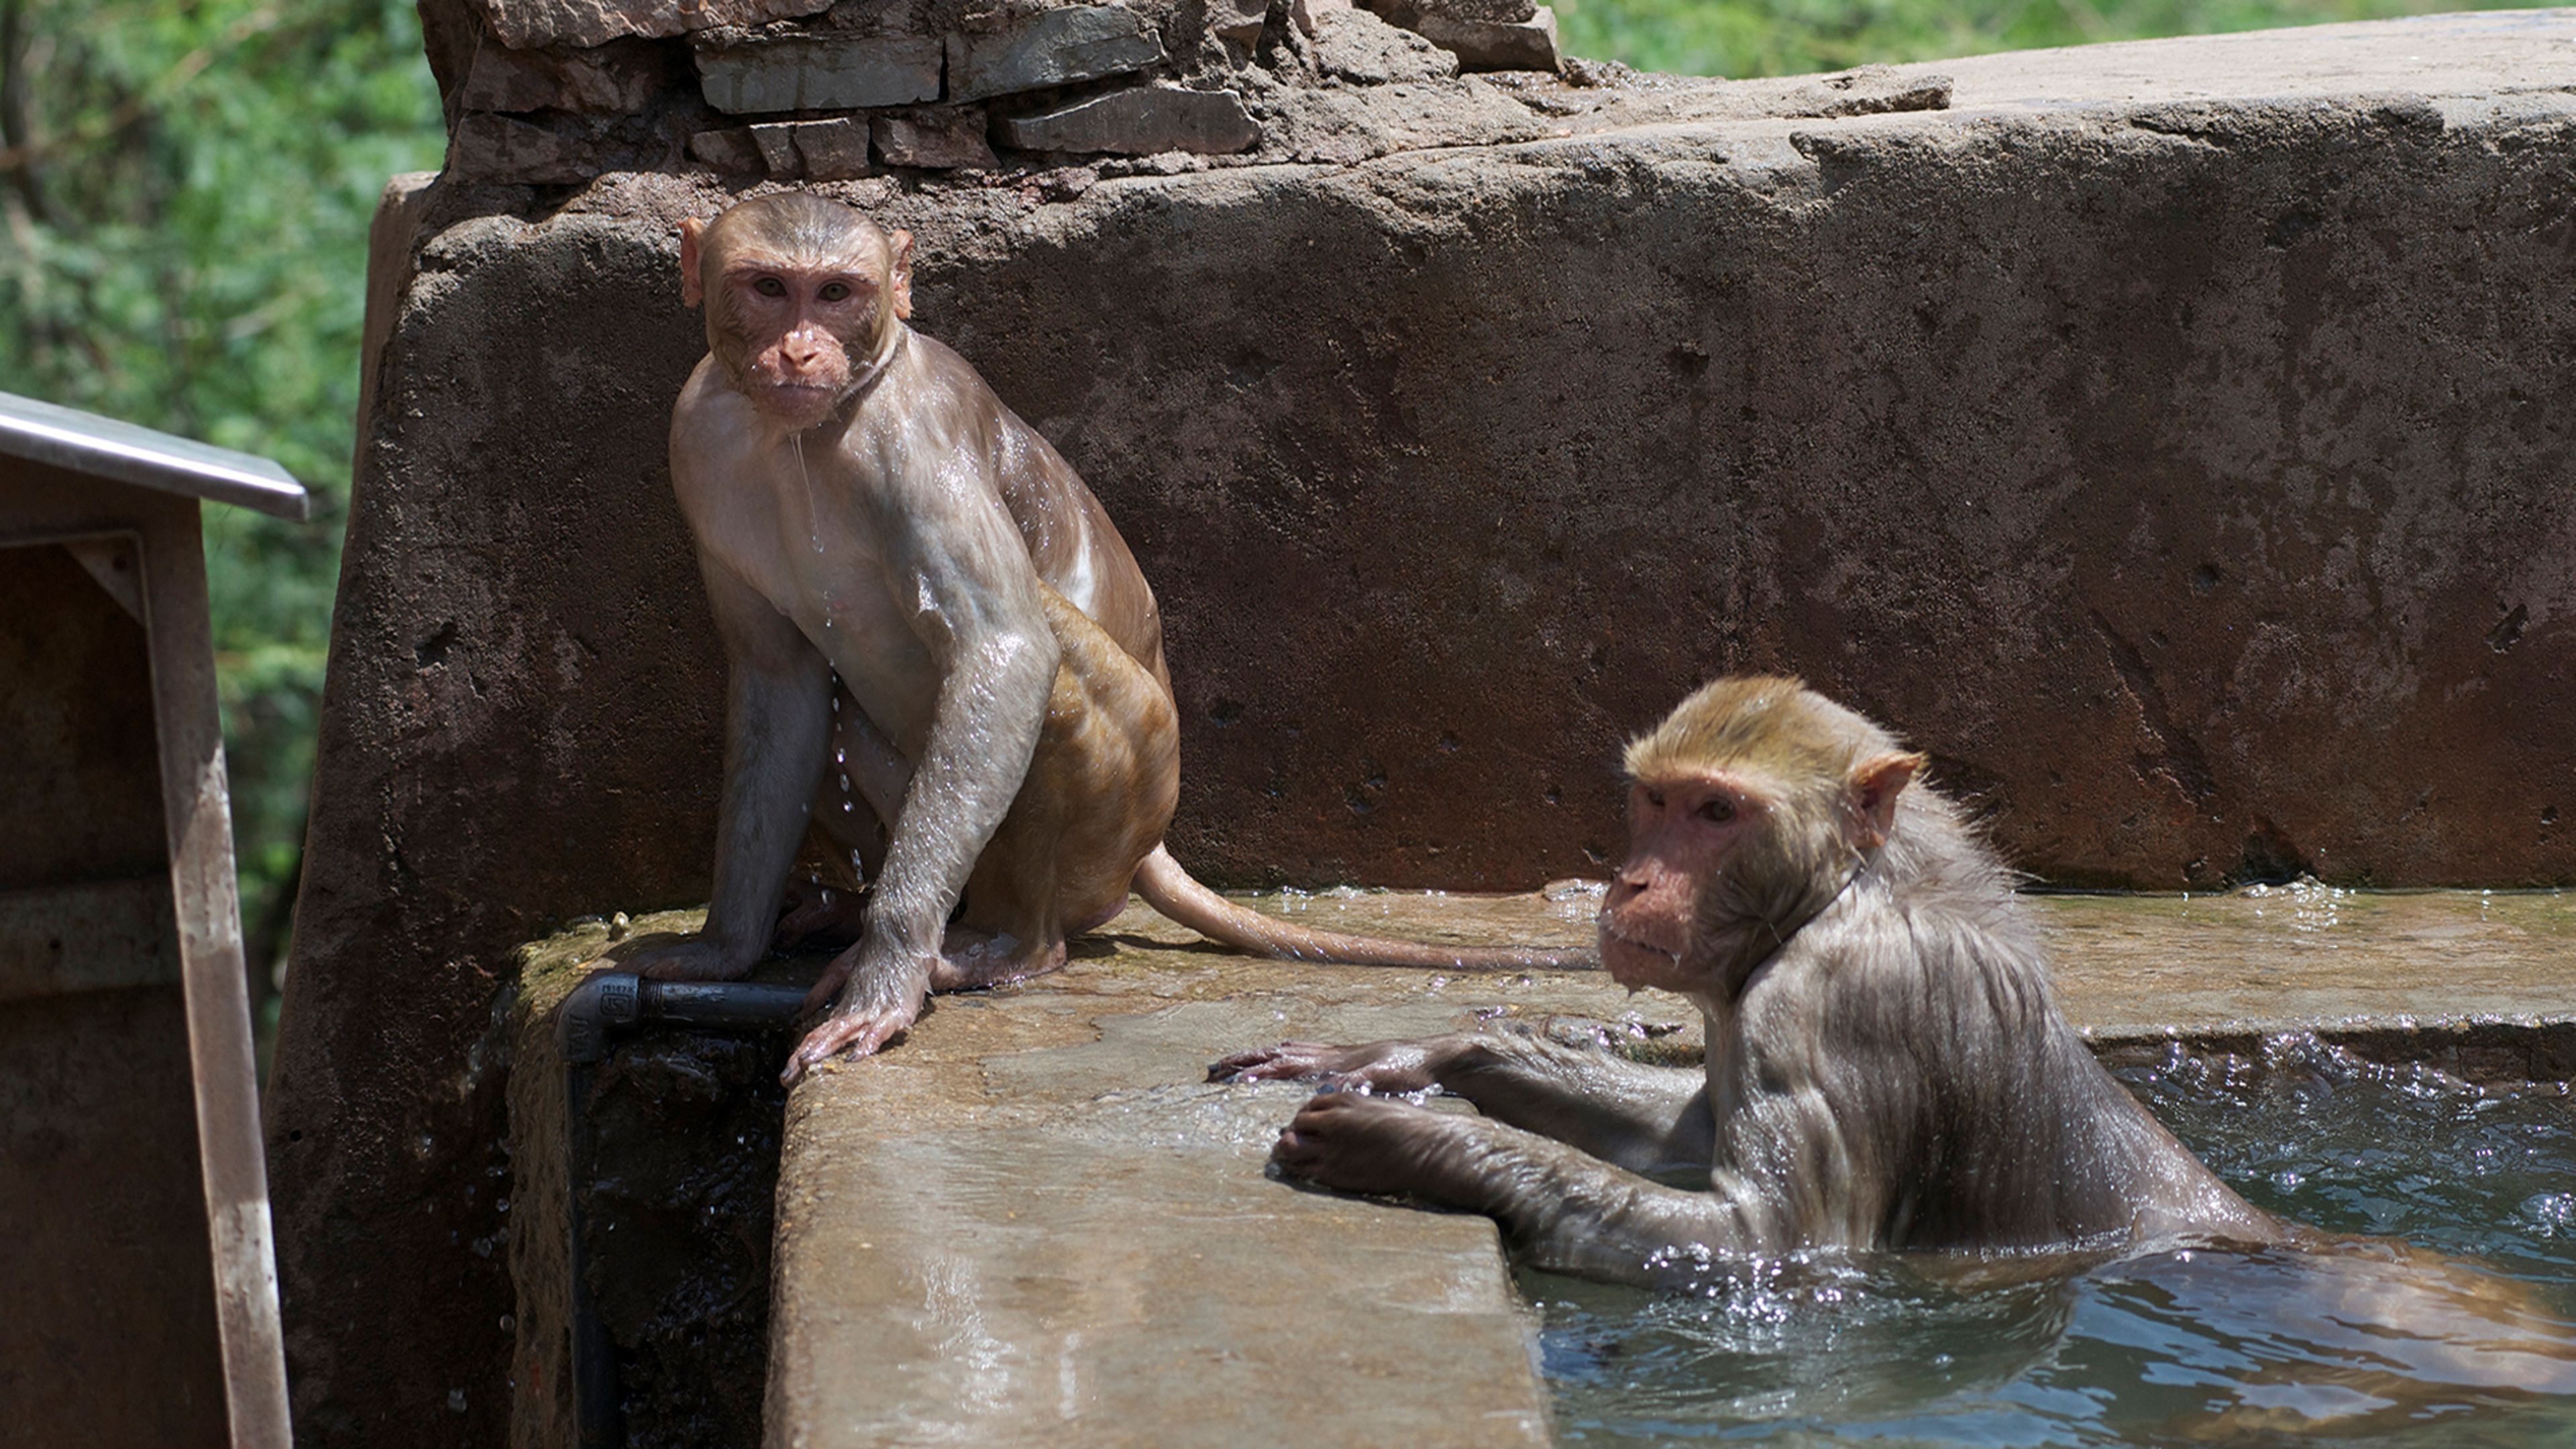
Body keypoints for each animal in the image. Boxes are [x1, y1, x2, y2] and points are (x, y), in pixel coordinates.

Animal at [622, 192, 1585, 1085]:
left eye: (835, 292)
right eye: (769, 288)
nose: (798, 351)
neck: (804, 434)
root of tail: (1149, 845)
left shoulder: (915, 440)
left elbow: (1006, 651)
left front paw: (887, 977)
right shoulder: (694, 437)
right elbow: (775, 680)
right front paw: (724, 947)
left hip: (1127, 802)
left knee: (1046, 670)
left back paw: (1004, 947)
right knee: (841, 714)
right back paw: (850, 909)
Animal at [1212, 676, 2285, 1282]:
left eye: (1719, 812)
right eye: (1656, 800)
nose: (1633, 881)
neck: (1839, 894)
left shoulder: (1831, 1004)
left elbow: (1764, 1243)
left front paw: (1407, 1145)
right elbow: (1682, 1135)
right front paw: (1417, 1054)